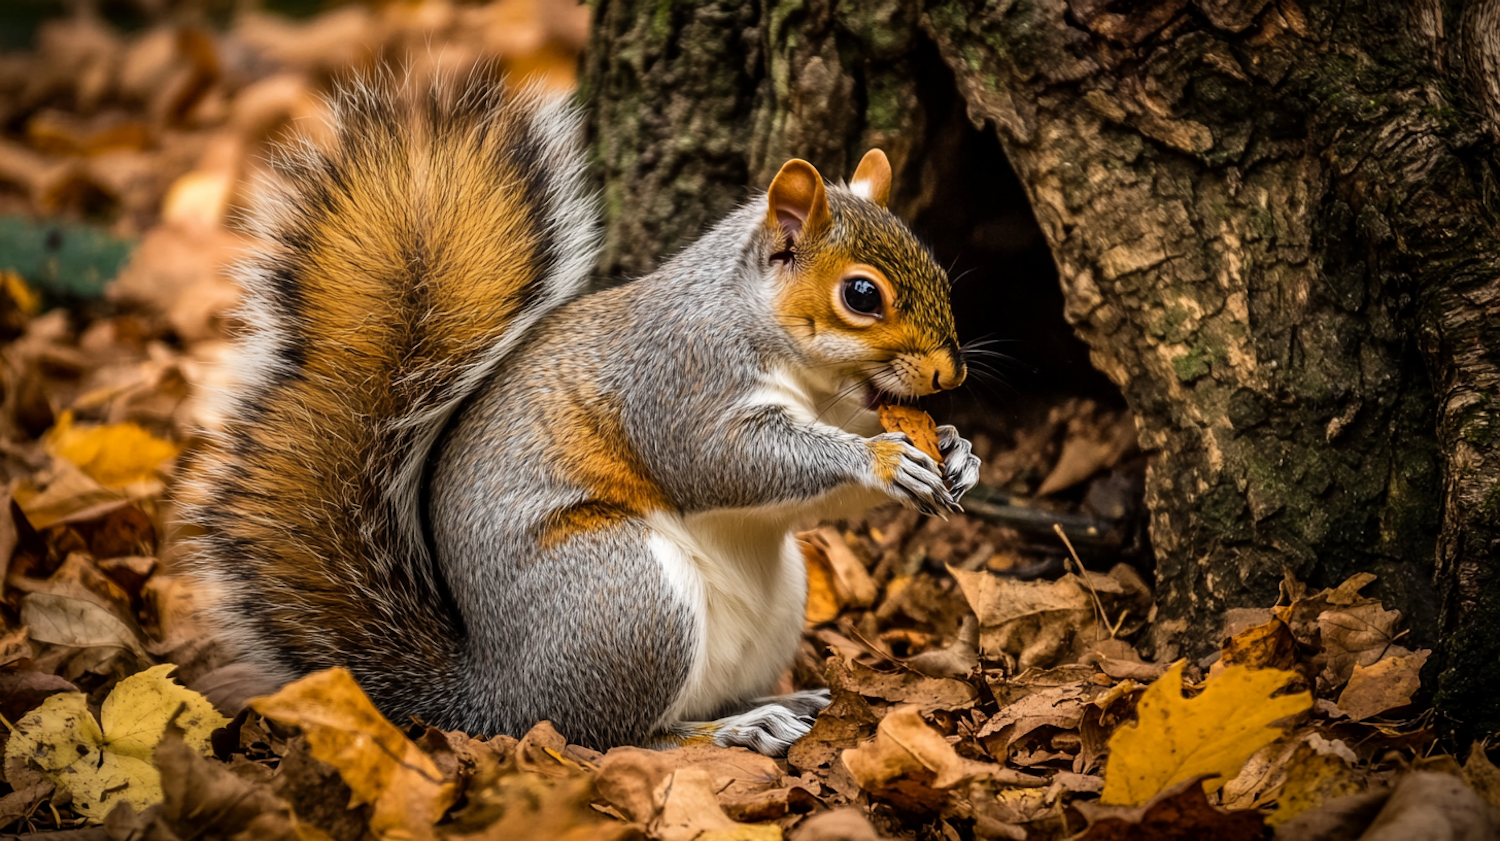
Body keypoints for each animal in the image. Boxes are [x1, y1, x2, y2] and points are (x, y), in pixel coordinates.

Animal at [178, 73, 984, 755]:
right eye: (861, 295)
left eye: (938, 268)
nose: (951, 374)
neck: (799, 364)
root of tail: (488, 701)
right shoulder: (679, 382)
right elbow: (723, 463)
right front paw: (882, 457)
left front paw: (954, 449)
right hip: (625, 600)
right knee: (613, 736)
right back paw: (734, 730)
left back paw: (781, 701)